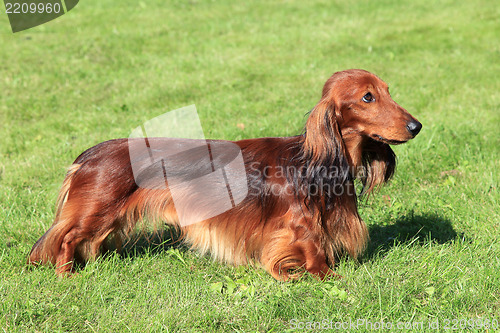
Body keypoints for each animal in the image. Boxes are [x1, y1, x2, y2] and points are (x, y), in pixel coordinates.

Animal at [28, 70, 422, 280]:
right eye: (367, 97)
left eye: (388, 91)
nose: (416, 126)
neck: (318, 160)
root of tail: (87, 155)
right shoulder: (299, 224)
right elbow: (312, 250)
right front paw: (327, 277)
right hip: (96, 211)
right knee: (66, 238)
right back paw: (66, 274)